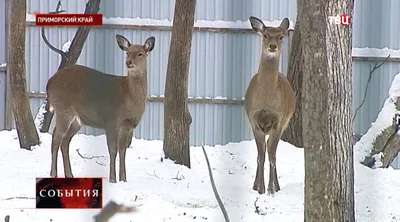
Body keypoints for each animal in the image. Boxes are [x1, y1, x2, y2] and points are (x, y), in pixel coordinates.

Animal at [45, 34, 155, 183]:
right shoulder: (111, 121)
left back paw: (70, 175)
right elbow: (113, 150)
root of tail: (49, 82)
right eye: (127, 52)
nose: (129, 62)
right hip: (63, 109)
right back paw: (53, 174)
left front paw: (123, 179)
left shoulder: (127, 126)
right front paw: (113, 179)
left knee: (65, 141)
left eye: (140, 53)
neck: (129, 97)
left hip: (76, 120)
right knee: (56, 138)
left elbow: (123, 151)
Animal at [245, 16, 296, 194]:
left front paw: (271, 188)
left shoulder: (279, 121)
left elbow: (271, 155)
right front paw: (259, 188)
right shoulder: (254, 121)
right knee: (264, 152)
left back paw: (276, 186)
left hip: (284, 123)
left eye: (280, 37)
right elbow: (260, 156)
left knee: (272, 152)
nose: (272, 46)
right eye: (265, 35)